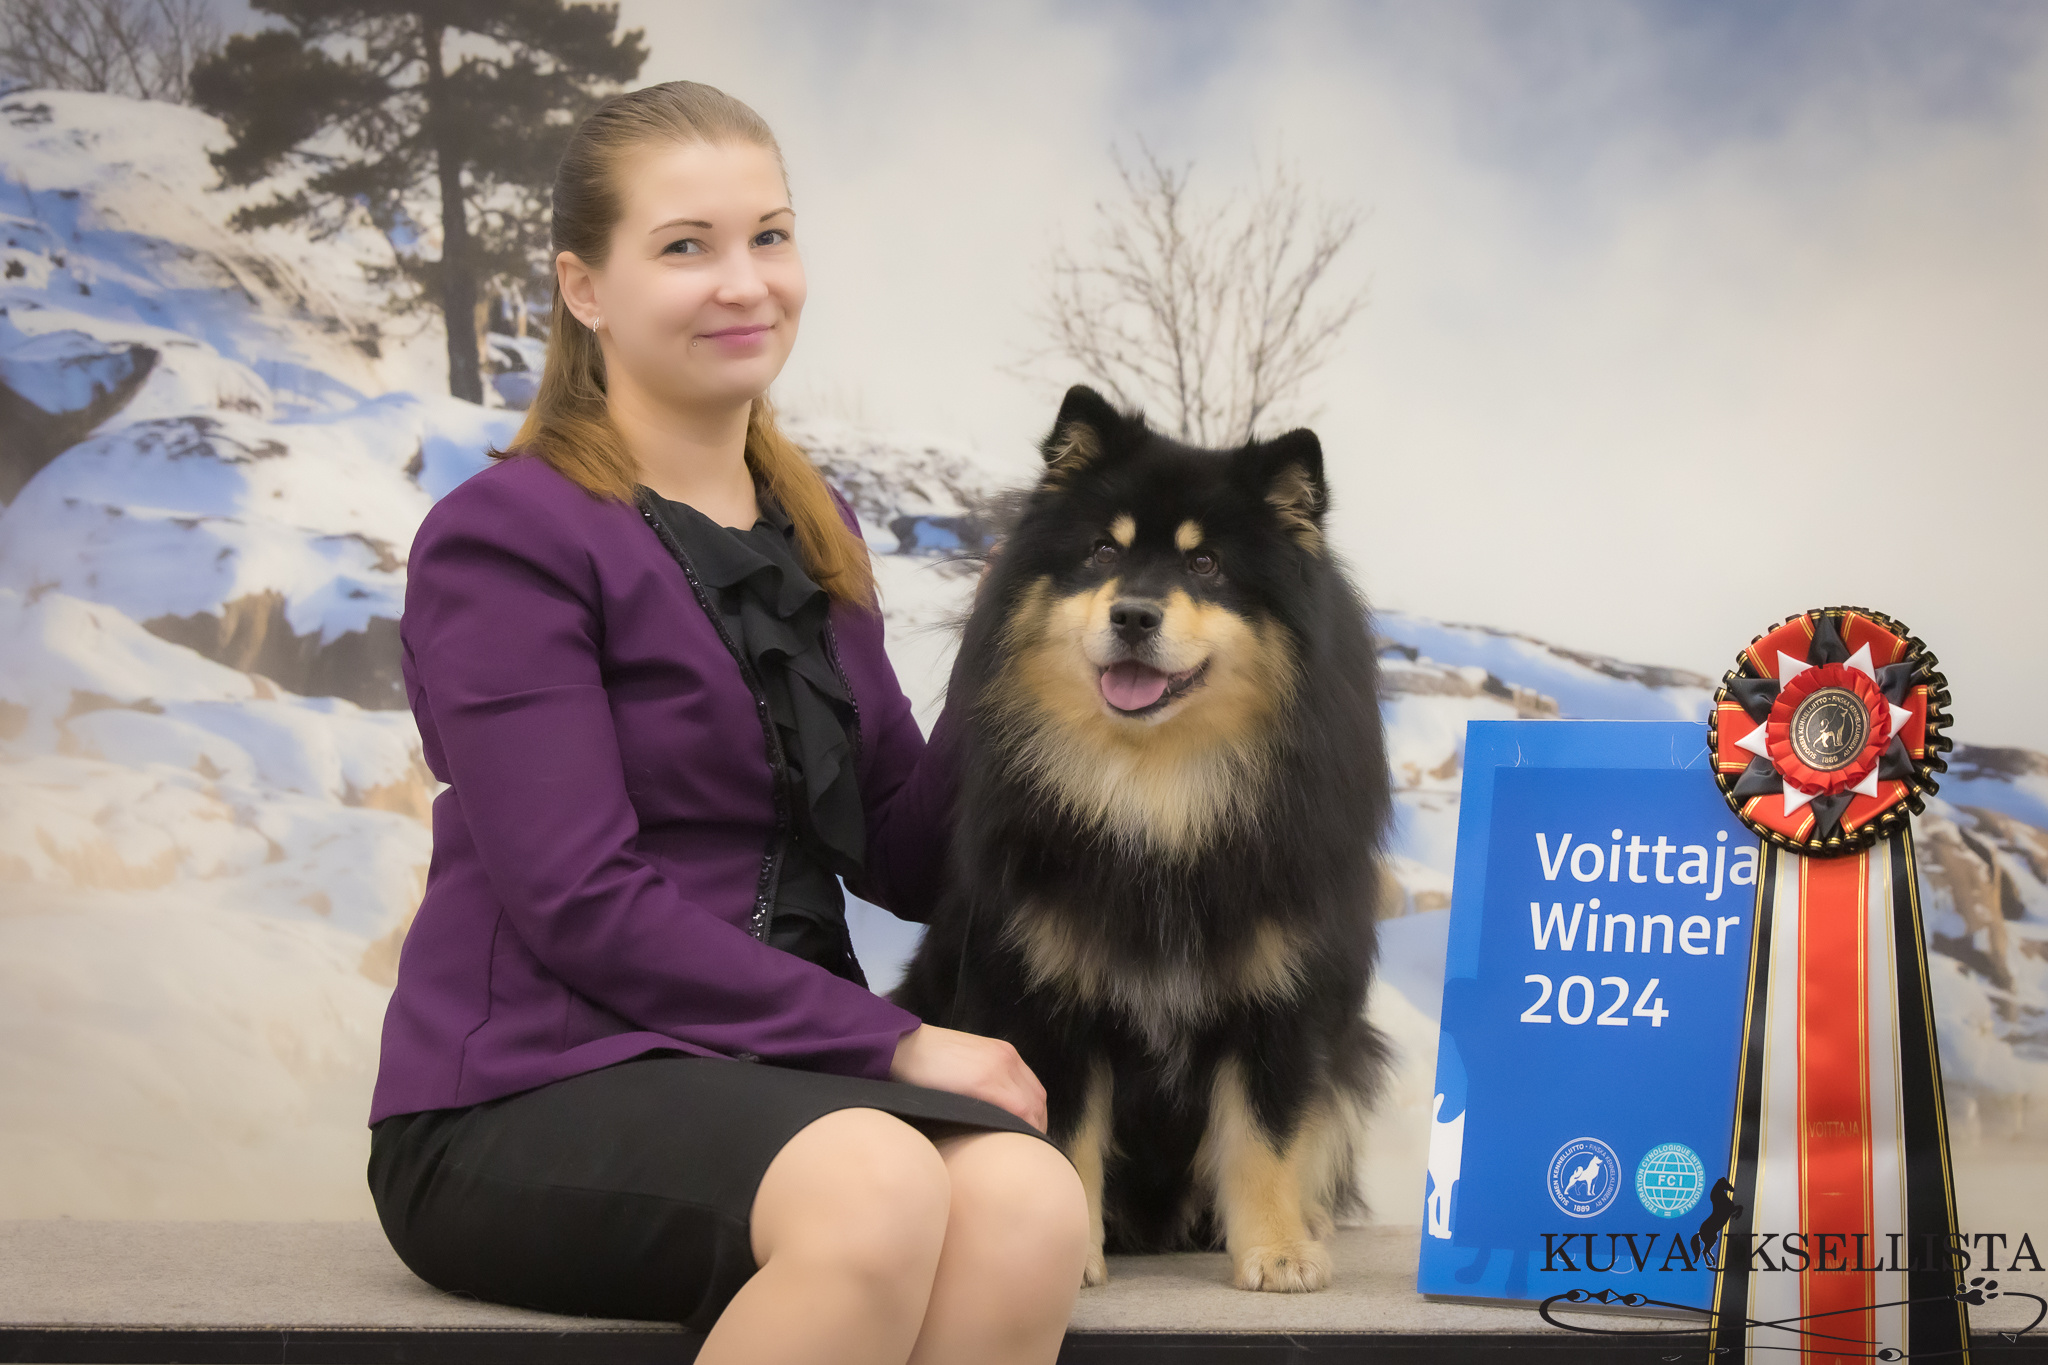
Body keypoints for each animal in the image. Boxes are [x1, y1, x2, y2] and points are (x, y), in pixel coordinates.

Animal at [892, 385, 1391, 1293]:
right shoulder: (1043, 996)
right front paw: (1070, 1244)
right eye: (1102, 552)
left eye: (1206, 566)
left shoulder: (1280, 996)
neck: (1159, 790)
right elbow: (1065, 1132)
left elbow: (1266, 1135)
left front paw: (1276, 1249)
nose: (1132, 613)